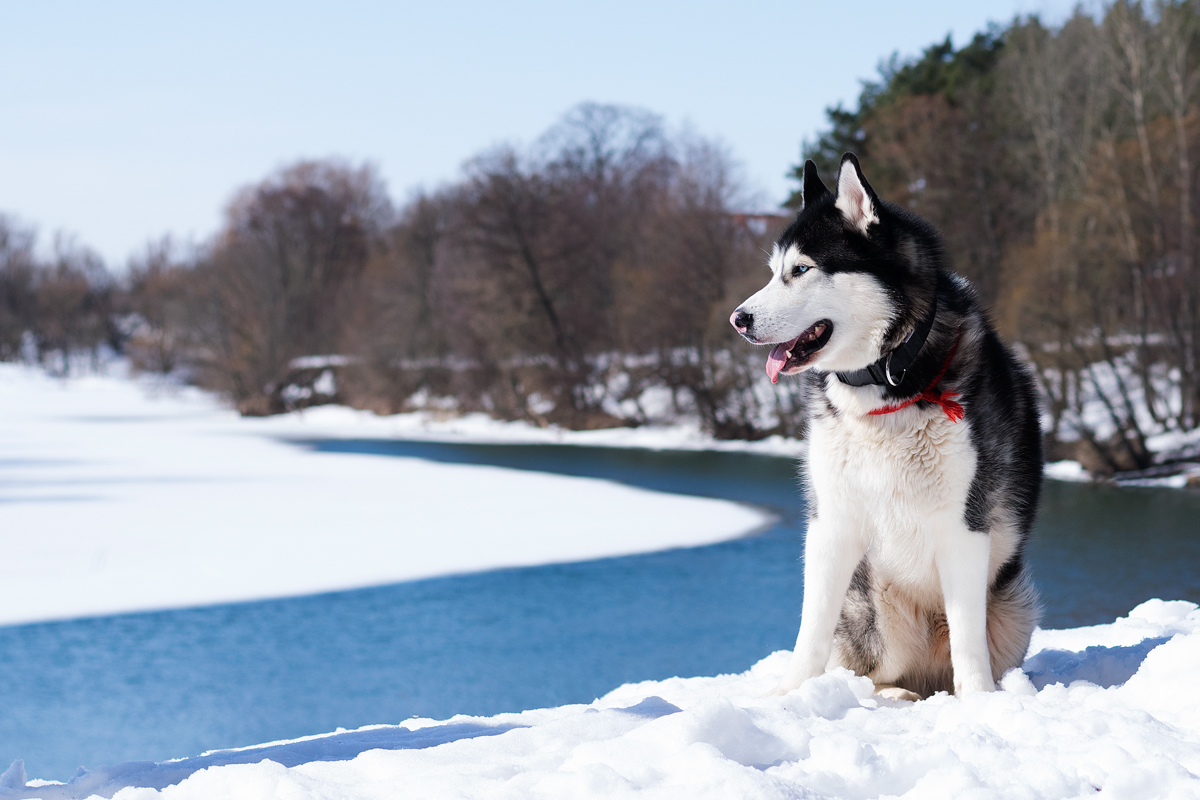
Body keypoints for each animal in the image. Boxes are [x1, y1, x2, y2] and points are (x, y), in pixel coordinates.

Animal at [729, 153, 1041, 695]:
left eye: (801, 269)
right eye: (773, 273)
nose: (738, 318)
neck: (883, 380)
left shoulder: (964, 526)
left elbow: (968, 641)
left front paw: (980, 702)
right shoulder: (830, 523)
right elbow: (811, 629)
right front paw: (791, 694)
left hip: (1013, 602)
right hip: (873, 607)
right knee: (876, 670)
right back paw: (889, 692)